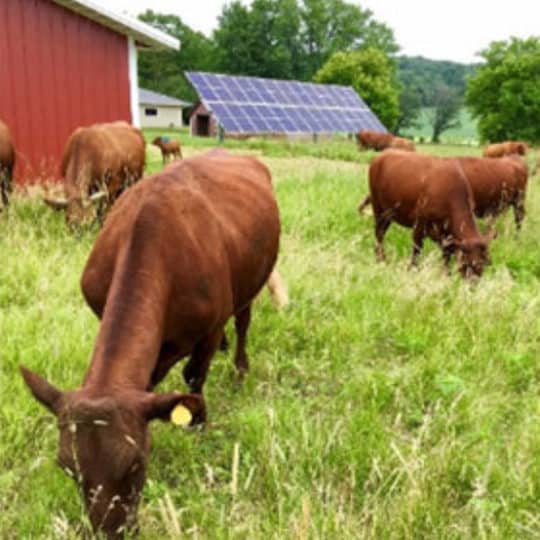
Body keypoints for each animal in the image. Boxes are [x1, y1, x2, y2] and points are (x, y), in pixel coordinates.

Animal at [20, 150, 282, 536]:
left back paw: (239, 368)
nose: (111, 532)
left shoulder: (209, 326)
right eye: (68, 469)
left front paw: (199, 424)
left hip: (252, 279)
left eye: (136, 464)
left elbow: (193, 376)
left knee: (243, 319)